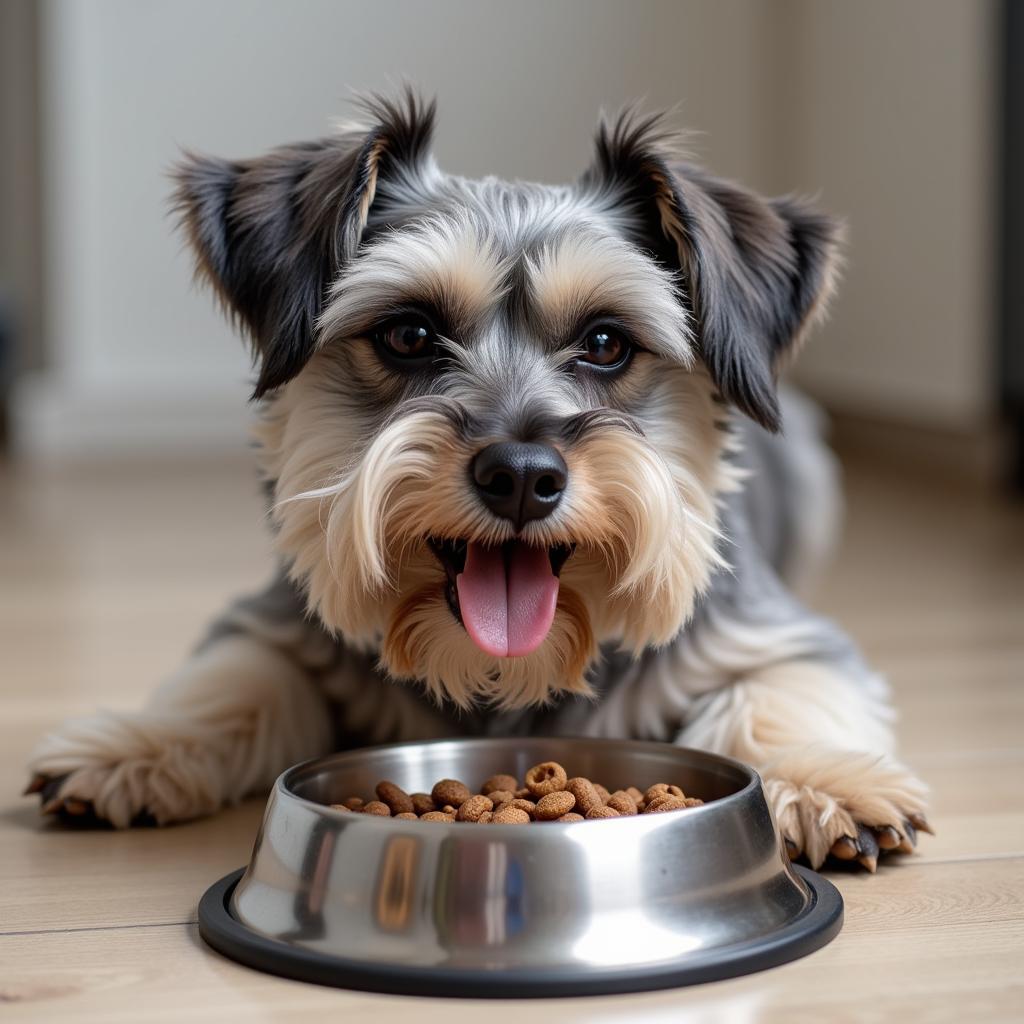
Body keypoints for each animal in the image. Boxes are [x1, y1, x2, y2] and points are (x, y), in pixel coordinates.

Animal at [29, 90, 929, 872]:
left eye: (607, 343)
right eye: (408, 334)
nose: (523, 476)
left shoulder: (779, 635)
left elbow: (778, 699)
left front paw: (821, 781)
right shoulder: (275, 621)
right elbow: (233, 680)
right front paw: (137, 742)